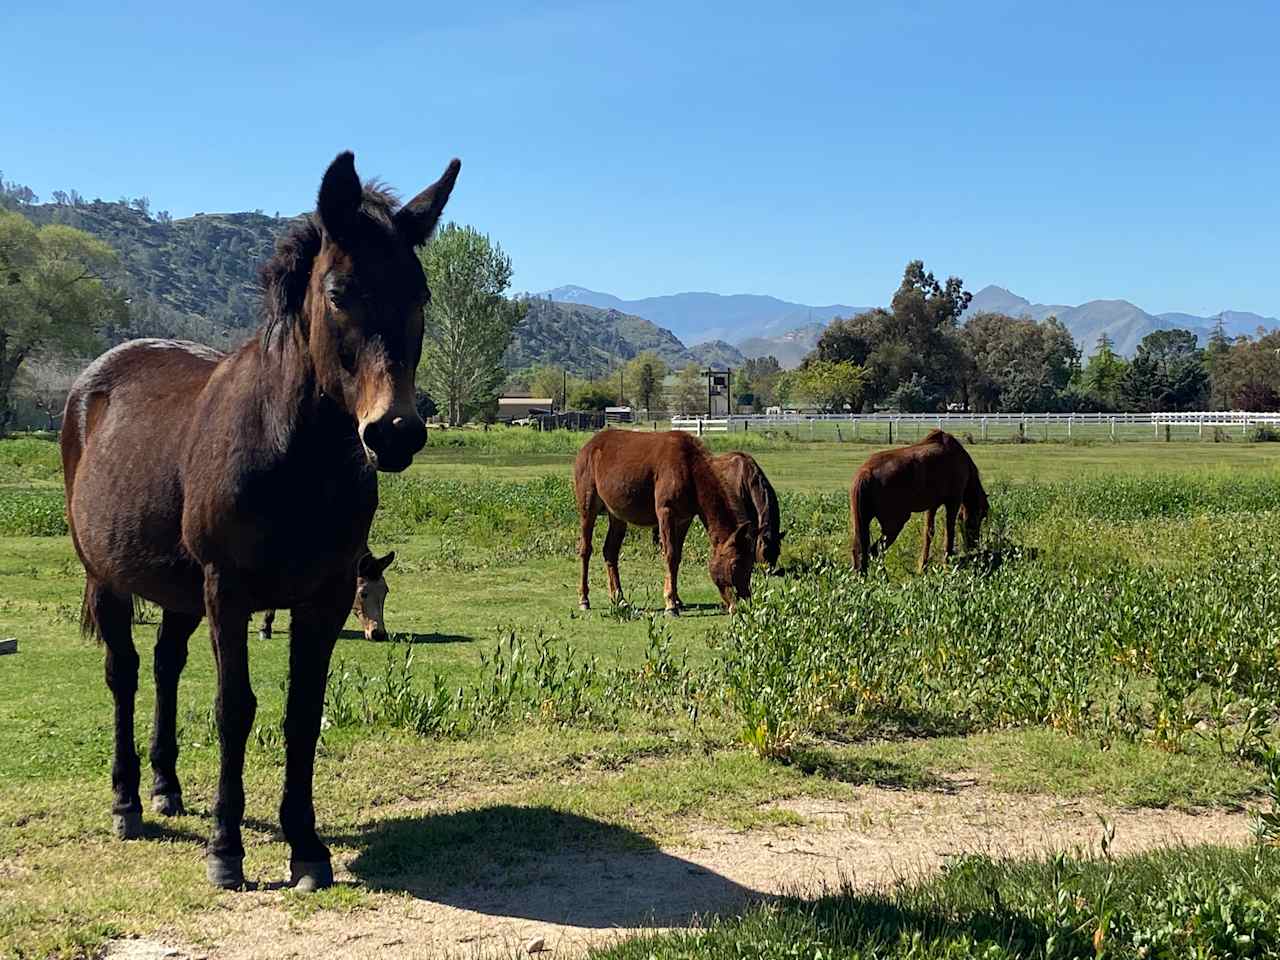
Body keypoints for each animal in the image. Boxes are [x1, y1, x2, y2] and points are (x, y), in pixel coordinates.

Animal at [576, 430, 752, 611]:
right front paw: (670, 604)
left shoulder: (684, 519)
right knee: (585, 549)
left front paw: (676, 599)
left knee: (610, 552)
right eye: (735, 564)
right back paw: (584, 599)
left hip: (617, 516)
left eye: (751, 565)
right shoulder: (666, 513)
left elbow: (677, 556)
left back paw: (620, 599)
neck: (689, 467)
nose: (744, 603)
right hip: (588, 509)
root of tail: (589, 446)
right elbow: (670, 554)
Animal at [849, 430, 988, 578]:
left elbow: (929, 533)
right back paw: (883, 578)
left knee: (861, 550)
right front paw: (946, 564)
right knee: (876, 550)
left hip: (863, 523)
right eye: (980, 517)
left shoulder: (932, 505)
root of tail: (866, 473)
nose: (974, 546)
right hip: (894, 524)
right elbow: (949, 532)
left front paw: (923, 566)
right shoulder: (953, 501)